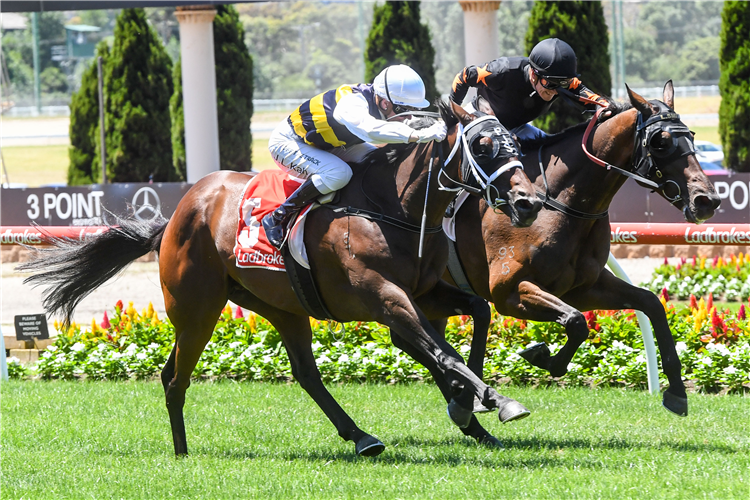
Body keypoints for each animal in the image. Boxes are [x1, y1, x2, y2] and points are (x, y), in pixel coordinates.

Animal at [20, 98, 544, 458]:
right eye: (483, 145)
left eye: (517, 143)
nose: (528, 203)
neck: (392, 207)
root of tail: (174, 216)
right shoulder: (384, 296)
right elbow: (442, 351)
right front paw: (495, 400)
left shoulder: (425, 291)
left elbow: (476, 315)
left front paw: (470, 405)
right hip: (197, 310)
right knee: (175, 377)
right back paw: (183, 451)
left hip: (282, 307)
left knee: (305, 374)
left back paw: (360, 437)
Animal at [446, 82, 724, 416]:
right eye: (661, 141)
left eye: (692, 136)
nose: (706, 200)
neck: (560, 202)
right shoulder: (508, 291)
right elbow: (577, 322)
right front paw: (541, 355)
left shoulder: (583, 288)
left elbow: (651, 304)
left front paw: (677, 392)